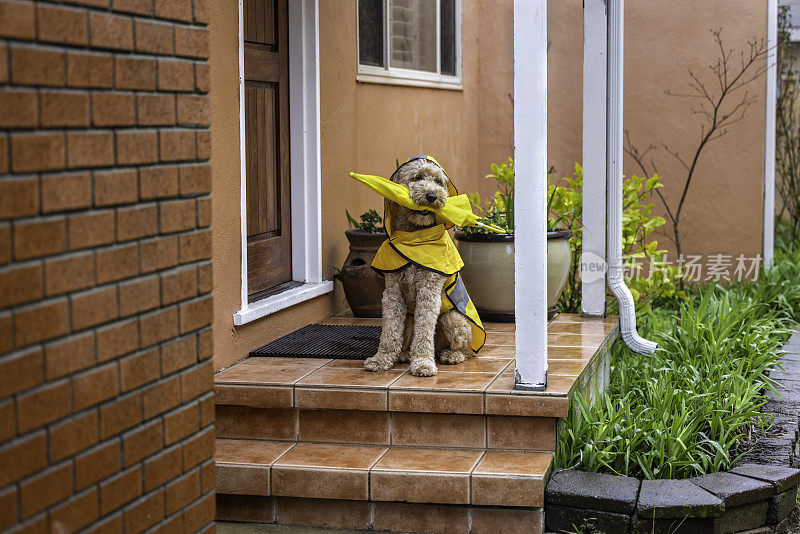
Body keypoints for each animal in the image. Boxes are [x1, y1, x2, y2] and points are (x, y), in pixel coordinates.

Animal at [364, 158, 476, 376]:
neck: (414, 236)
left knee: (465, 348)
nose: (432, 196)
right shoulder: (392, 291)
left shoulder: (429, 289)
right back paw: (404, 354)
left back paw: (451, 355)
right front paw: (381, 359)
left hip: (452, 318)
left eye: (439, 181)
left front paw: (423, 362)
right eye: (417, 177)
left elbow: (424, 330)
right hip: (409, 318)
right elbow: (389, 330)